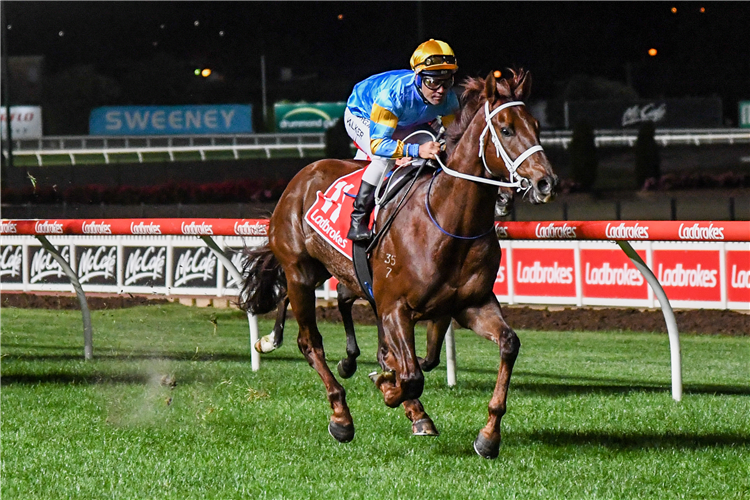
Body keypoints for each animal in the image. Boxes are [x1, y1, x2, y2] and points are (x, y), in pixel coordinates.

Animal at [241, 69, 560, 458]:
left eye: (537, 126)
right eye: (505, 129)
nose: (546, 182)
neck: (449, 221)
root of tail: (301, 177)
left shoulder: (471, 304)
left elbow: (507, 345)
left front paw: (488, 435)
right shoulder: (395, 306)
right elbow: (409, 376)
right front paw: (386, 385)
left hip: (327, 271)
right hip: (300, 272)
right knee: (309, 342)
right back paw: (341, 415)